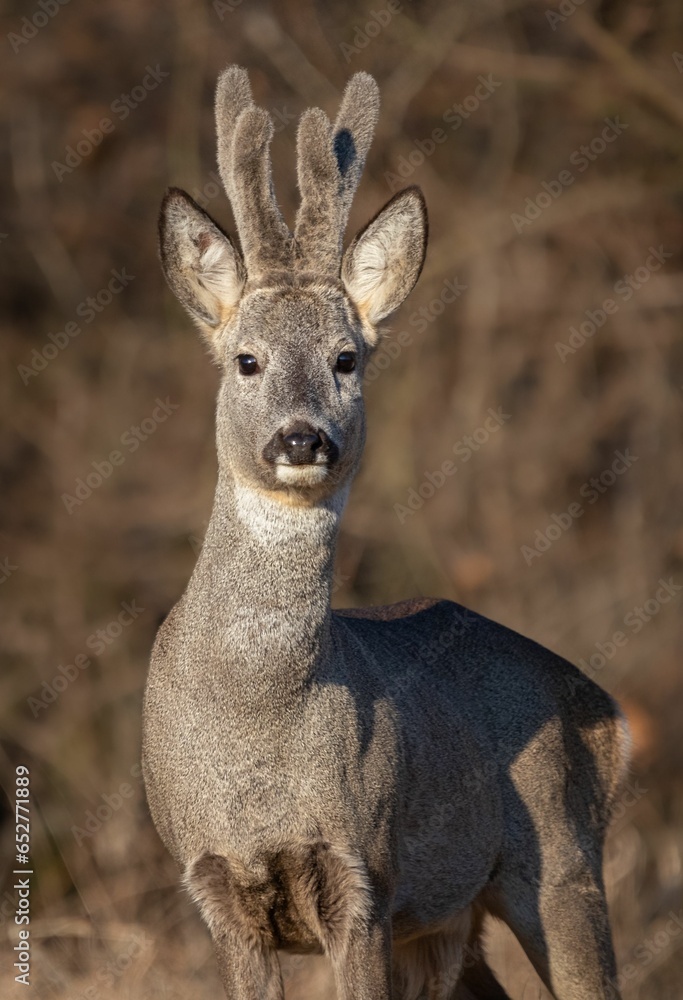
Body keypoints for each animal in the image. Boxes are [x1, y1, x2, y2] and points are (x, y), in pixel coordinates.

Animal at [142, 65, 631, 1000]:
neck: (258, 729)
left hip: (559, 859)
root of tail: (607, 707)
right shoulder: (216, 883)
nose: (302, 439)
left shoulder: (363, 873)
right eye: (246, 360)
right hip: (451, 923)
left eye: (346, 358)